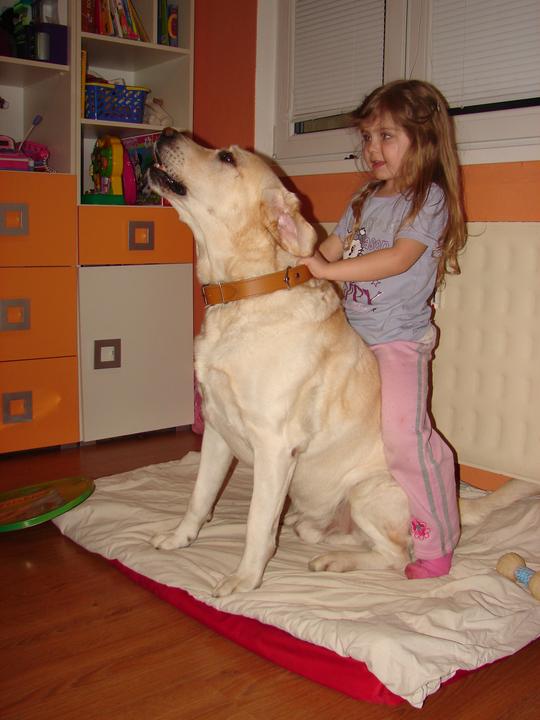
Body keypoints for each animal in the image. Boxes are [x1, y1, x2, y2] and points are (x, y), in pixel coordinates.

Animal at [147, 130, 538, 596]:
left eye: (225, 158)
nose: (167, 133)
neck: (243, 294)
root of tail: (455, 509)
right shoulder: (217, 429)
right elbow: (200, 495)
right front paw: (178, 538)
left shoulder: (275, 444)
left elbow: (257, 522)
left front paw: (244, 579)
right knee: (338, 535)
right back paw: (311, 532)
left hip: (367, 491)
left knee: (396, 557)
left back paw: (337, 560)